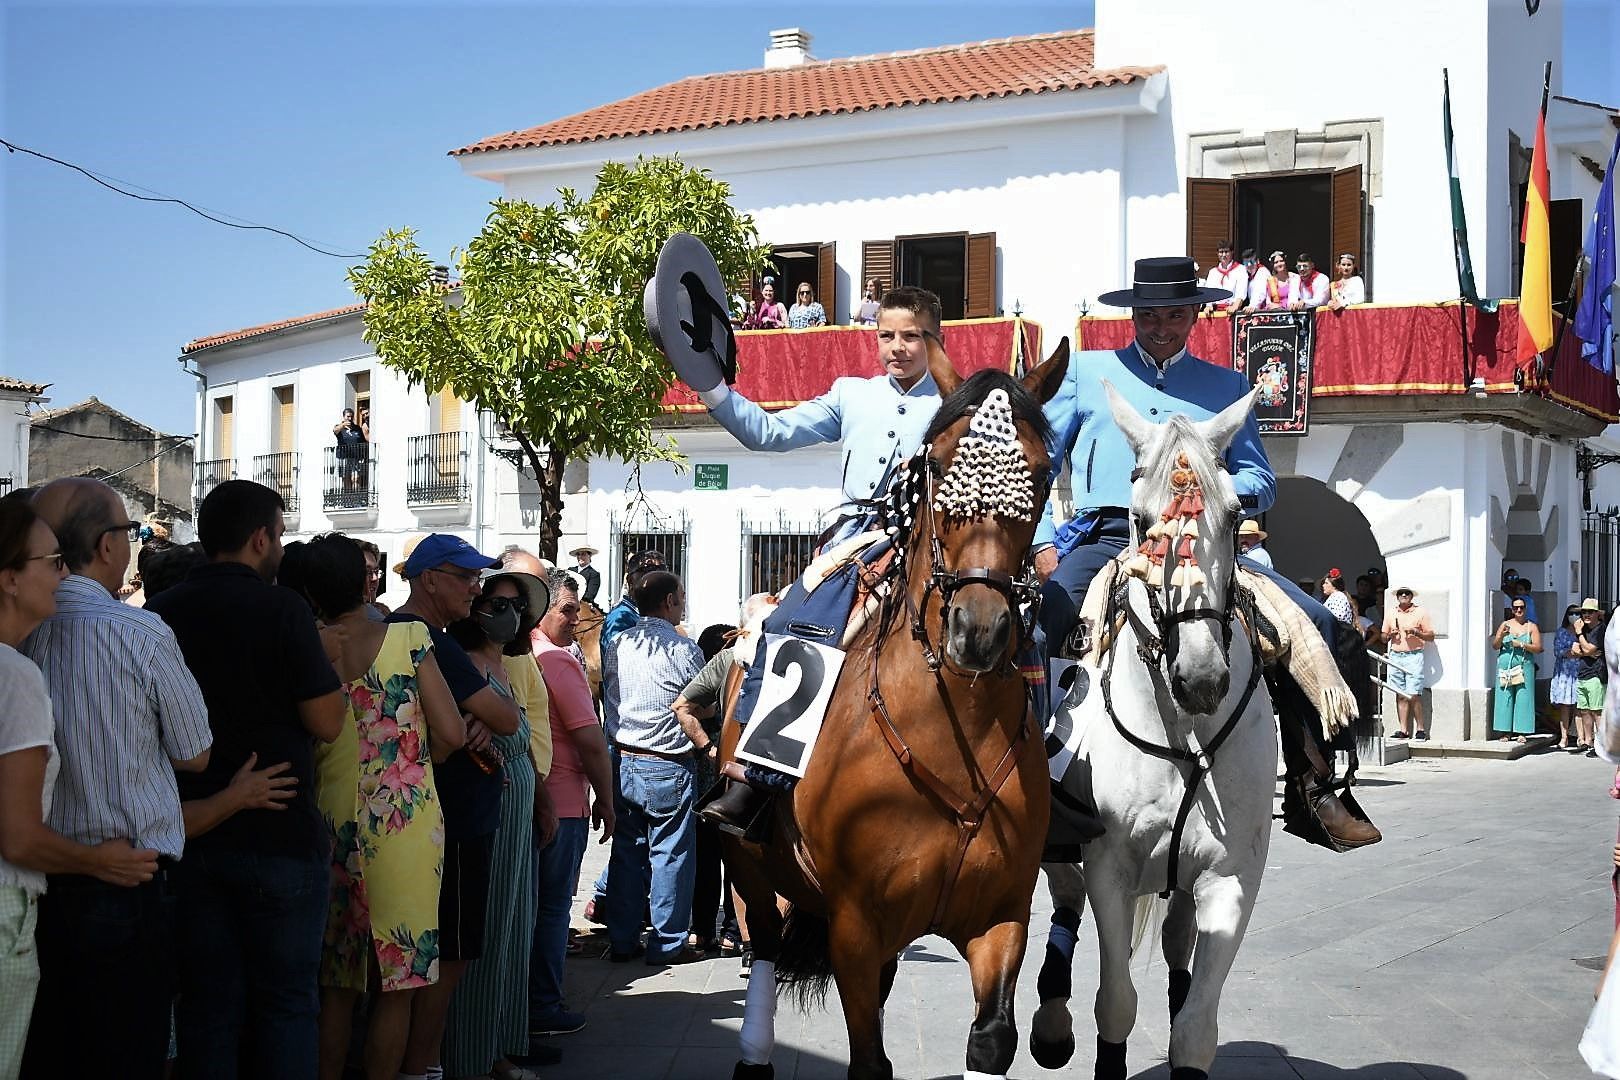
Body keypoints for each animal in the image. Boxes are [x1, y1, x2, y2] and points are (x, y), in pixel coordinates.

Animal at [729, 338, 1069, 1080]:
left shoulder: (1002, 915)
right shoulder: (856, 926)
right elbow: (868, 1060)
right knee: (763, 947)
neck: (948, 729)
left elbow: (991, 1039)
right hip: (751, 870)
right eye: (936, 463)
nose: (978, 629)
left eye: (1040, 470)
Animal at [1030, 388, 1270, 1080]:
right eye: (1138, 522)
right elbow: (1115, 1004)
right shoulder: (1109, 866)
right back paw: (1050, 1024)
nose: (1202, 677)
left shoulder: (1231, 878)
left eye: (1236, 514)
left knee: (1176, 945)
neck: (1183, 730)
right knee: (1064, 901)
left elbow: (1194, 1029)